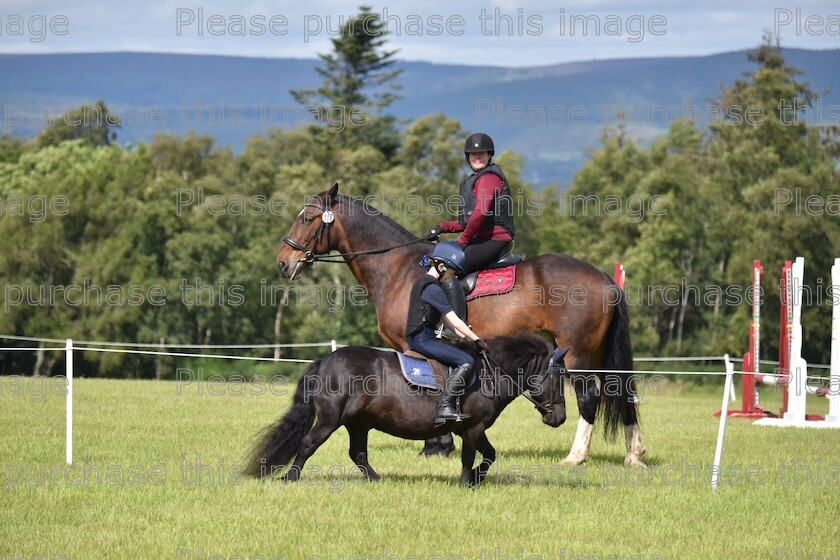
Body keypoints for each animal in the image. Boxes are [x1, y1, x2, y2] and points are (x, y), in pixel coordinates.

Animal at [246, 332, 568, 486]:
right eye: (558, 378)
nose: (560, 418)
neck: (490, 371)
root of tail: (326, 360)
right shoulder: (474, 426)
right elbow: (478, 456)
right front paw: (470, 481)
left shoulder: (470, 428)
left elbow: (482, 455)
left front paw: (473, 479)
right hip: (330, 419)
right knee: (308, 443)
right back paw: (290, 478)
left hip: (357, 423)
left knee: (357, 453)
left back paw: (376, 480)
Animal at [272, 184, 648, 468]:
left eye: (307, 218)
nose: (284, 262)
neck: (398, 267)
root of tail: (603, 278)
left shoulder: (410, 344)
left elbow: (427, 381)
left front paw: (436, 444)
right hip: (594, 352)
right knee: (621, 390)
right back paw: (634, 454)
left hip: (577, 354)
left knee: (589, 397)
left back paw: (576, 456)